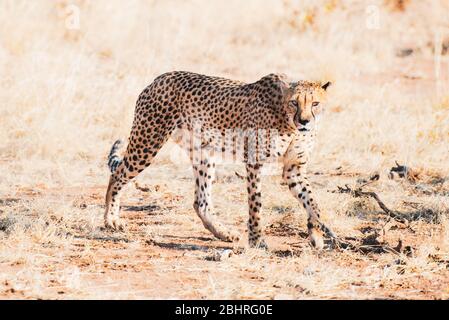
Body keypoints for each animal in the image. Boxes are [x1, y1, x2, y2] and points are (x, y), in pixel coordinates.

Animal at [104, 71, 332, 249]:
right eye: (294, 102)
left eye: (315, 103)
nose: (305, 121)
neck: (289, 124)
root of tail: (159, 78)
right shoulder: (254, 163)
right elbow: (256, 204)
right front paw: (257, 240)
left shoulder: (294, 167)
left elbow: (312, 201)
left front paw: (316, 235)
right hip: (147, 143)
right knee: (117, 175)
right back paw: (111, 220)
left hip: (203, 154)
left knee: (201, 201)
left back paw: (224, 233)